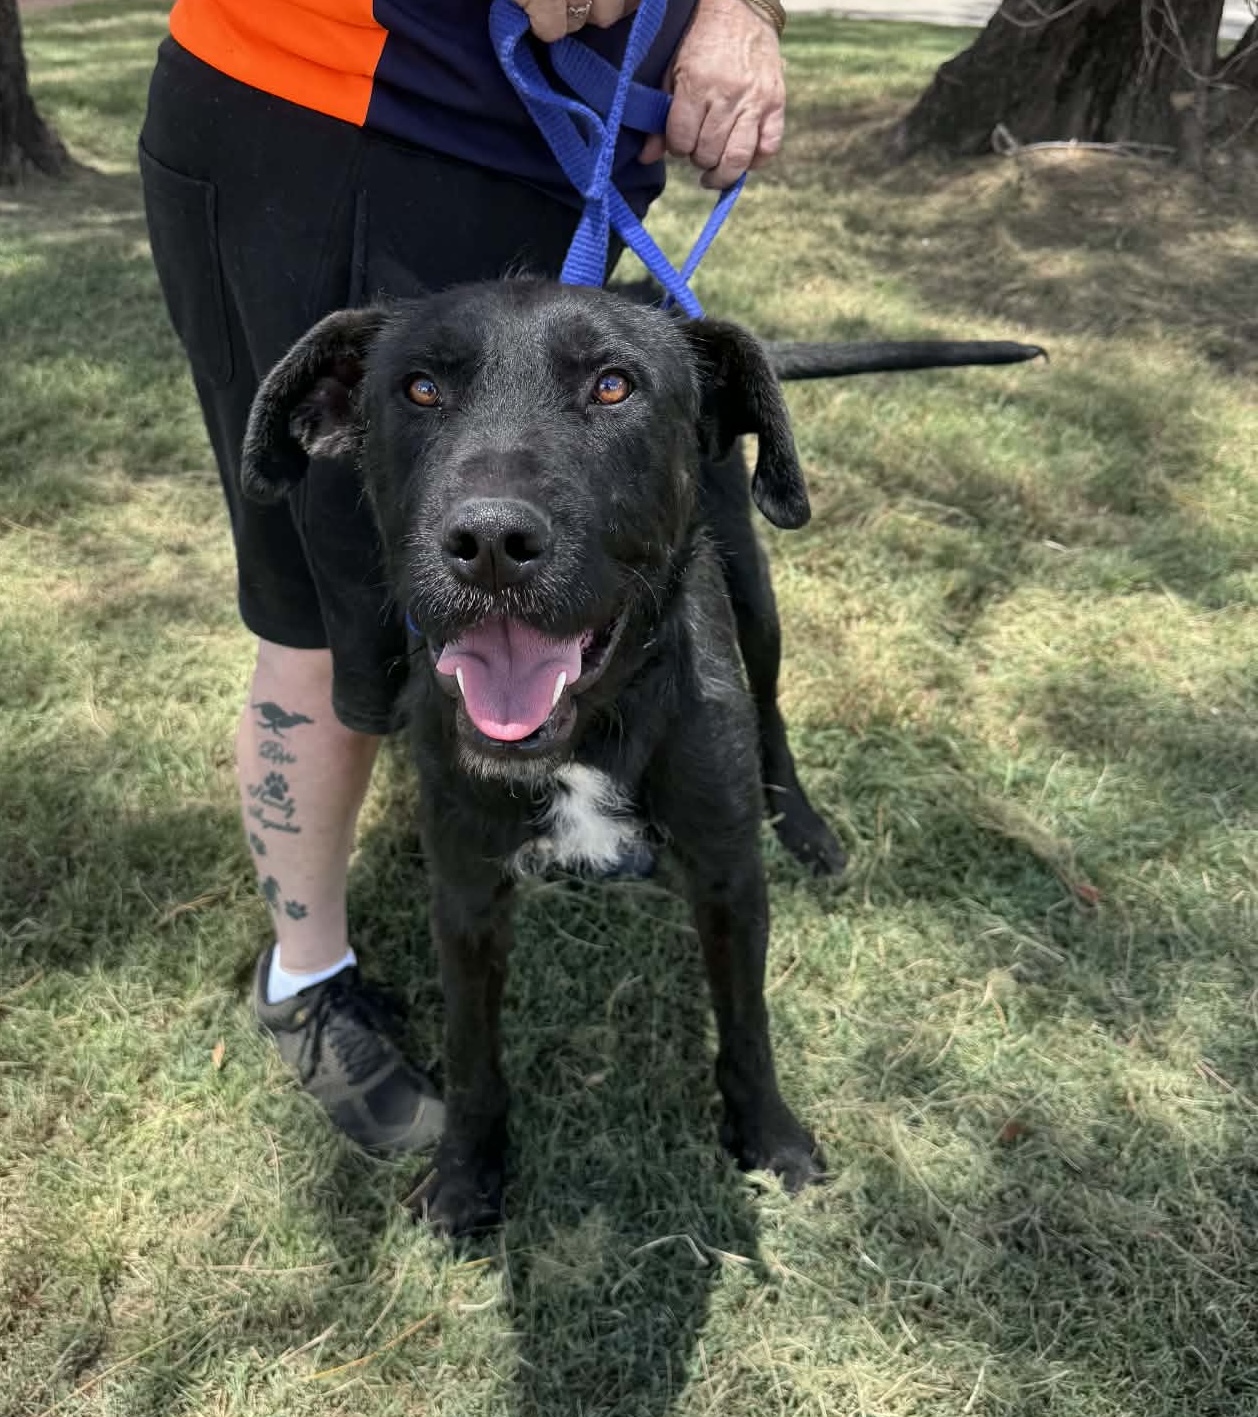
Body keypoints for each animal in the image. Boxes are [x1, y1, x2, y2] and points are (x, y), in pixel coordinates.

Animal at [242, 280, 1040, 1234]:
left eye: (614, 386)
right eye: (420, 389)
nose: (489, 543)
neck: (592, 728)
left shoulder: (730, 878)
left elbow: (747, 1026)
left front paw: (769, 1136)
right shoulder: (467, 897)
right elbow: (472, 1054)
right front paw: (467, 1172)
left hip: (755, 597)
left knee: (773, 709)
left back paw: (805, 824)